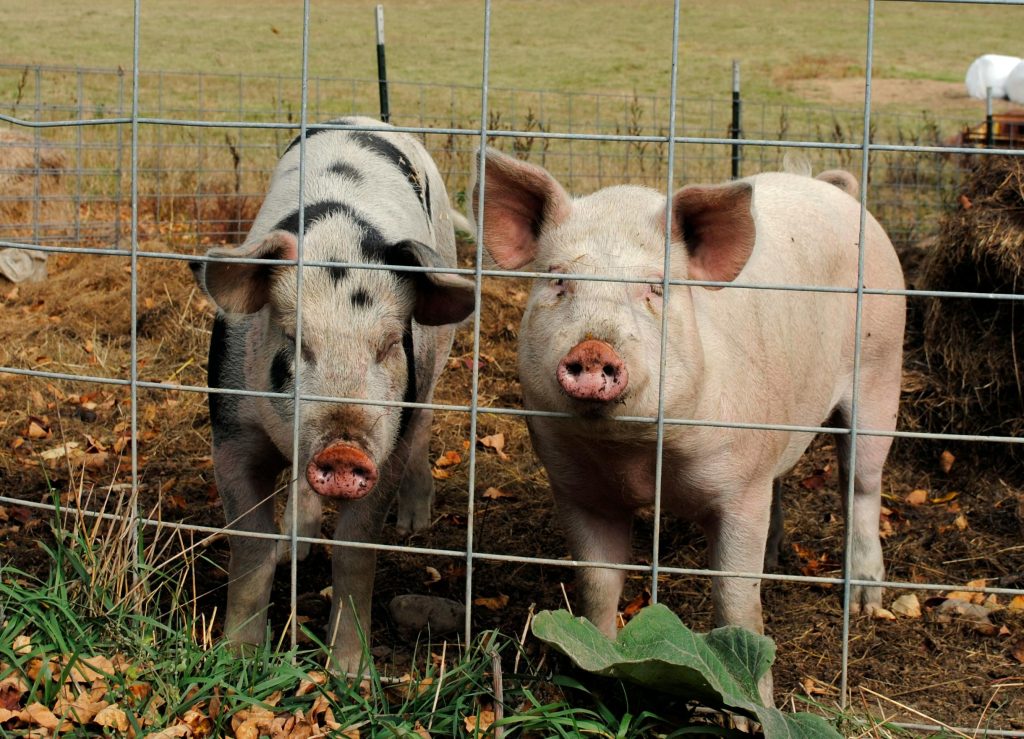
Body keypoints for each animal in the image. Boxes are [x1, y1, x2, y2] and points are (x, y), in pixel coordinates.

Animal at [197, 117, 475, 673]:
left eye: (389, 344)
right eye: (293, 339)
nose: (344, 449)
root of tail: (367, 120)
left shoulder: (385, 448)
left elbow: (355, 552)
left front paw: (350, 673)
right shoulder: (230, 433)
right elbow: (250, 549)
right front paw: (236, 659)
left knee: (424, 425)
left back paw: (413, 525)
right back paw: (296, 547)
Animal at [472, 148, 905, 703]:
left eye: (656, 288)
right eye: (557, 279)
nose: (592, 349)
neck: (637, 457)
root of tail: (835, 190)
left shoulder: (740, 489)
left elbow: (737, 601)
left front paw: (751, 701)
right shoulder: (577, 488)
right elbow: (597, 586)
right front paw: (600, 676)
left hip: (881, 369)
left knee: (862, 484)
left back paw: (866, 602)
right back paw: (776, 556)